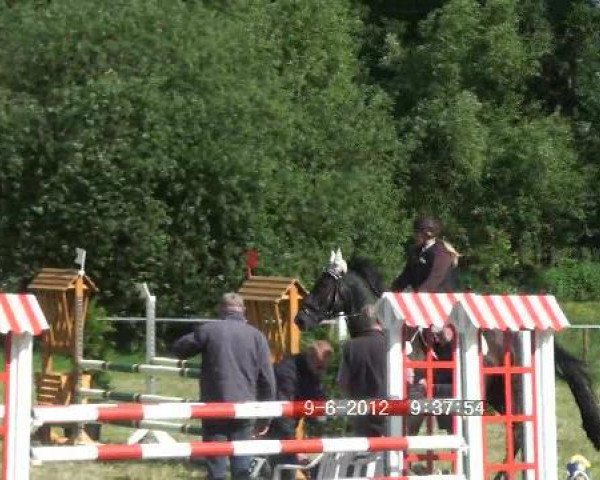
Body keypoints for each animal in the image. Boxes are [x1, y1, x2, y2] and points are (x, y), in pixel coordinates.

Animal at [296, 253, 600, 478]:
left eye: (323, 286)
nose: (300, 319)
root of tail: (517, 333)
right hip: (496, 394)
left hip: (509, 388)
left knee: (518, 429)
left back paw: (501, 474)